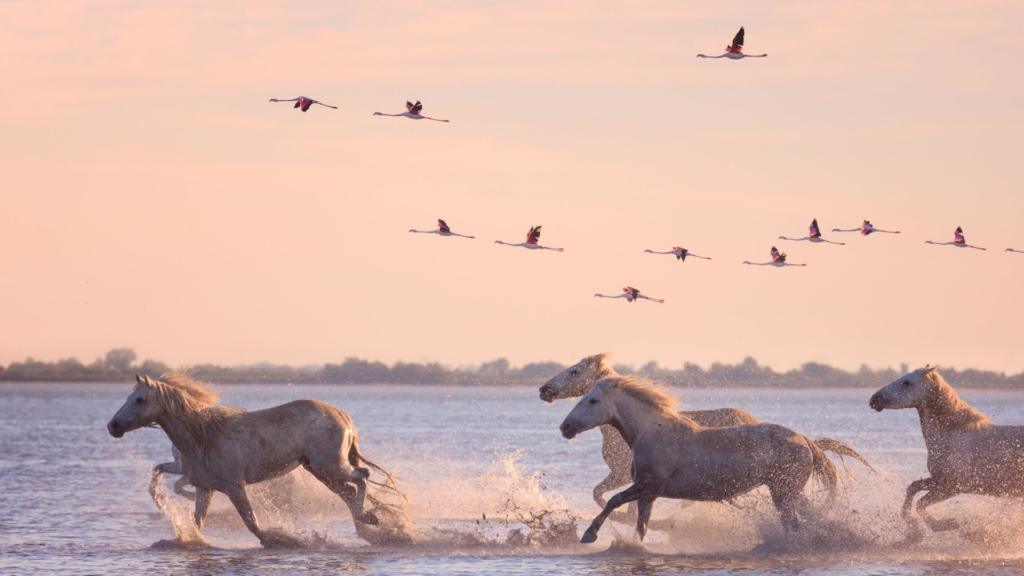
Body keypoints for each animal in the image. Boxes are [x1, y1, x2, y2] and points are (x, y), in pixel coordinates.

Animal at [104, 373, 391, 541]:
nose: (112, 426)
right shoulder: (205, 488)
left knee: (362, 477)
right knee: (349, 492)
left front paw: (280, 541)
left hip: (331, 466)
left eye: (139, 399)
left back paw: (369, 519)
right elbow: (196, 522)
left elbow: (253, 524)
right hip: (319, 470)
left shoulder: (235, 487)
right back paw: (367, 528)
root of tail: (343, 416)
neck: (203, 437)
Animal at [561, 375, 839, 541]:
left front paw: (589, 535)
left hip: (784, 492)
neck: (651, 432)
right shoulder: (648, 494)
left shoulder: (649, 484)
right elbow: (640, 526)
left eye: (593, 400)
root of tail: (804, 440)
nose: (565, 427)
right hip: (787, 492)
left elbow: (613, 501)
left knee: (798, 523)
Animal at [868, 364, 1024, 532]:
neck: (951, 437)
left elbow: (921, 503)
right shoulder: (938, 480)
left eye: (906, 382)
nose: (874, 399)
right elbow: (913, 487)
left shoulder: (952, 486)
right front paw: (910, 522)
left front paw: (944, 524)